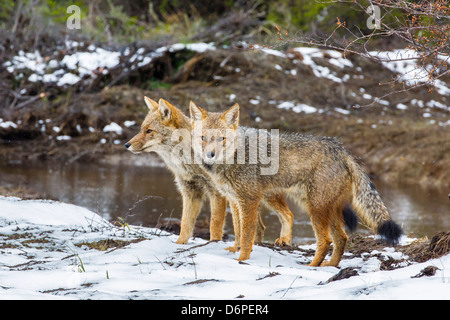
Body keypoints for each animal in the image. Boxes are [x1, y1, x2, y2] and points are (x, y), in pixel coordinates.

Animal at [188, 101, 402, 266]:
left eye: (221, 139)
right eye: (203, 138)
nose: (210, 155)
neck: (235, 156)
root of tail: (340, 148)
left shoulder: (249, 202)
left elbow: (247, 235)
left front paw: (242, 259)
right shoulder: (235, 201)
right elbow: (238, 231)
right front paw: (235, 249)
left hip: (314, 208)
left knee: (325, 240)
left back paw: (312, 266)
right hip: (322, 208)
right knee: (341, 238)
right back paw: (330, 265)